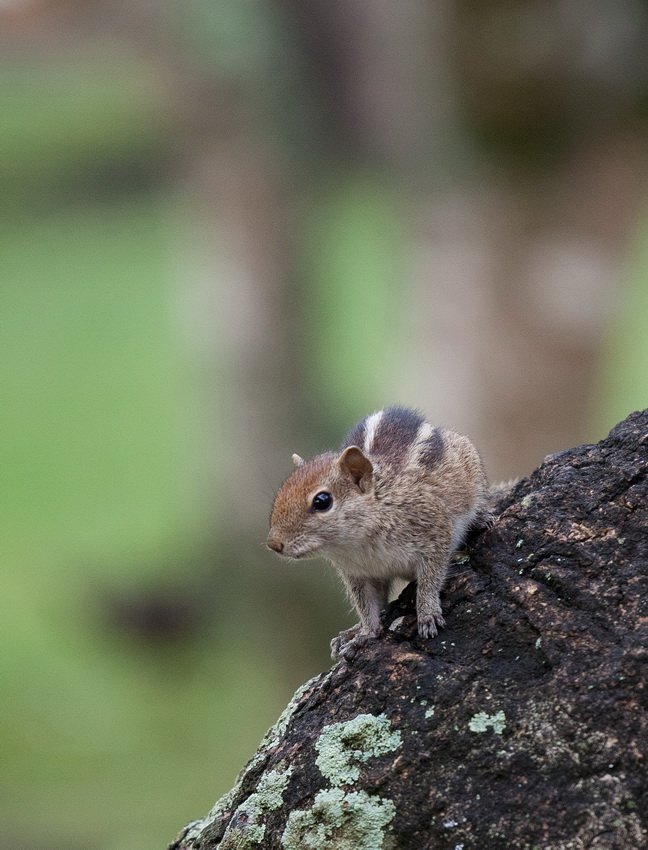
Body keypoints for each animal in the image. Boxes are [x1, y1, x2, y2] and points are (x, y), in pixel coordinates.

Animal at [264, 408, 492, 660]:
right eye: (281, 493)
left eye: (322, 501)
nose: (273, 544)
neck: (359, 541)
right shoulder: (358, 575)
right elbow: (367, 606)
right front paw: (365, 633)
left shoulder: (434, 532)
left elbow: (430, 579)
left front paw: (427, 612)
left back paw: (483, 517)